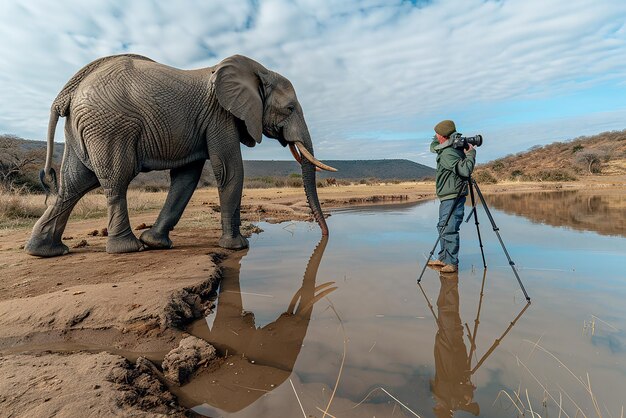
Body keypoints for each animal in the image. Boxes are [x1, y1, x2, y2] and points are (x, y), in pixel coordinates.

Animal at [25, 54, 334, 256]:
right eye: (290, 109)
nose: (326, 235)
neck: (259, 70)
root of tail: (67, 94)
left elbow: (187, 177)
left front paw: (156, 243)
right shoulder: (220, 115)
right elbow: (229, 169)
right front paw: (238, 246)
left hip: (84, 129)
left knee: (75, 184)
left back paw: (45, 251)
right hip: (110, 126)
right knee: (115, 180)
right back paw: (127, 249)